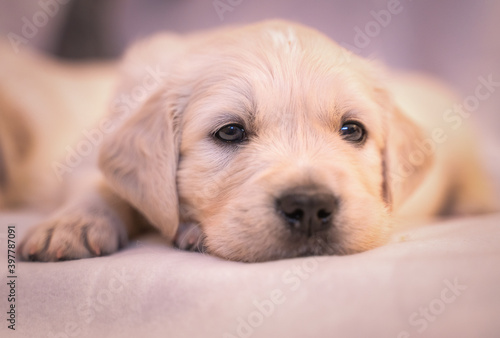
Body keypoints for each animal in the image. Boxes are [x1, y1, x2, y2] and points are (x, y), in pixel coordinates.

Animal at [9, 19, 494, 262]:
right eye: (230, 132)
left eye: (352, 130)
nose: (310, 207)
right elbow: (98, 184)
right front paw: (69, 225)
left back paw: (479, 197)